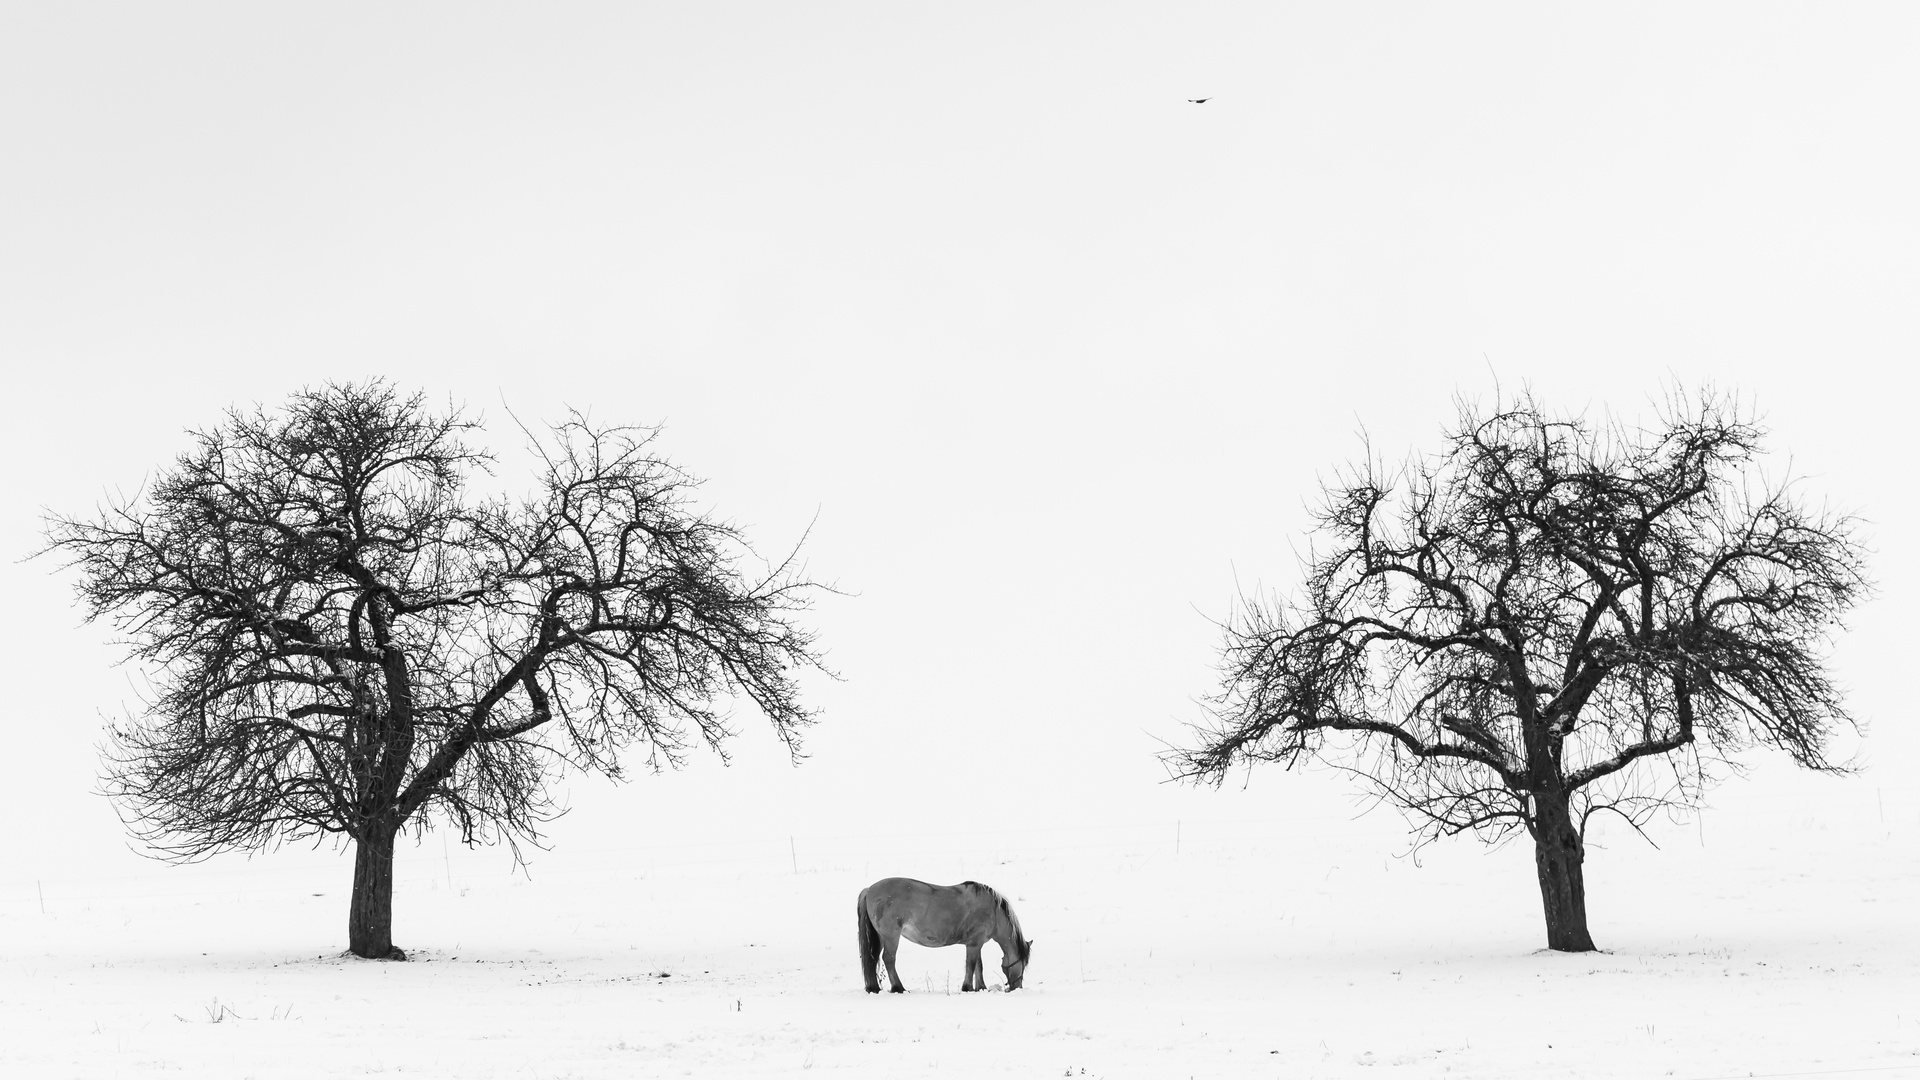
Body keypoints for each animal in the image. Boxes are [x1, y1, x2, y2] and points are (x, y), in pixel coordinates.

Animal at [860, 876, 1036, 991]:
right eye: (1022, 963)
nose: (1017, 987)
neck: (992, 910)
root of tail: (869, 889)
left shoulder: (976, 943)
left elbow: (978, 966)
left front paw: (981, 987)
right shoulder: (974, 944)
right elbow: (971, 965)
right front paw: (967, 987)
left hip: (881, 938)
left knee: (874, 959)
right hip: (891, 937)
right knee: (888, 959)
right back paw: (898, 988)